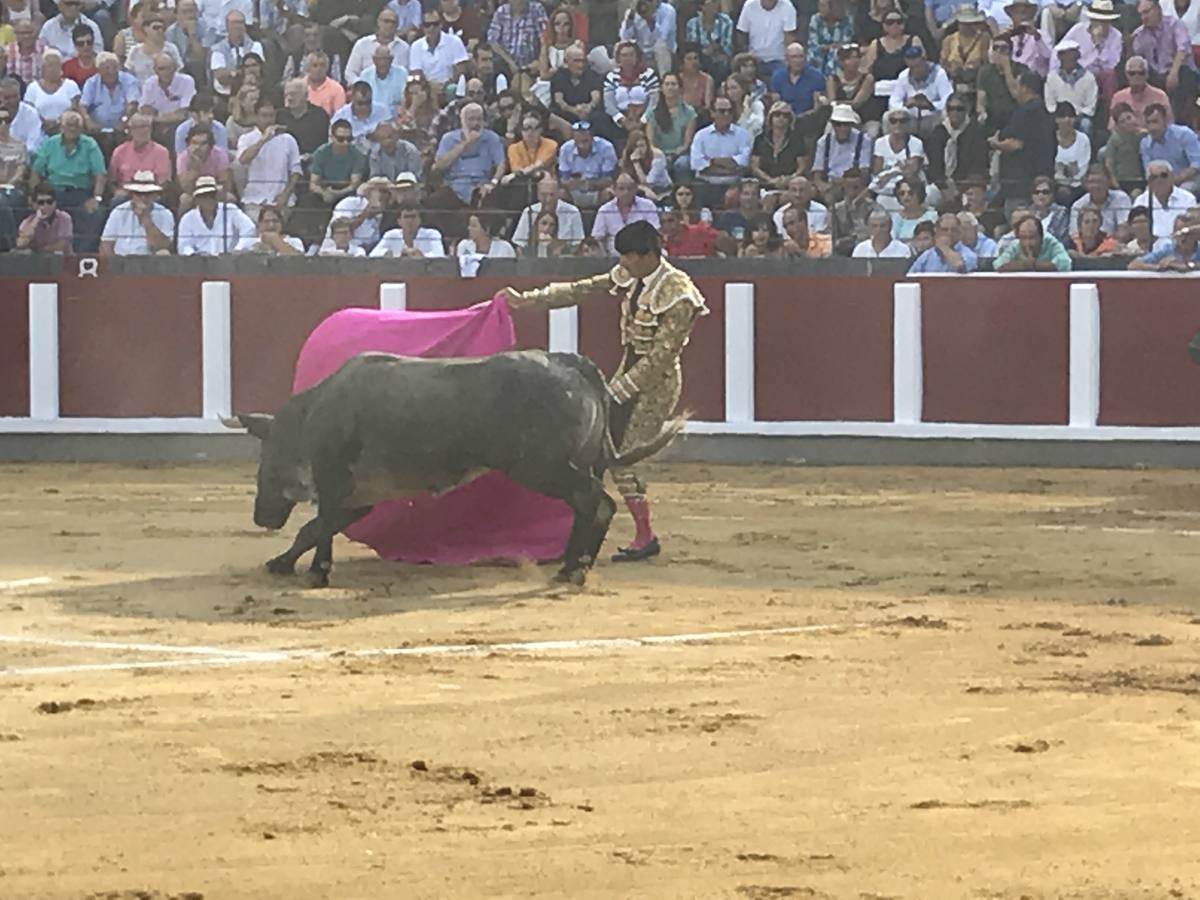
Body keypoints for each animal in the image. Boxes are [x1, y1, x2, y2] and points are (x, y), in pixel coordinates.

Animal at [225, 348, 686, 588]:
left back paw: (573, 569)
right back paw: (573, 567)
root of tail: (570, 363)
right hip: (578, 463)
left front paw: (314, 572)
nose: (260, 516)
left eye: (264, 460)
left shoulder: (334, 482)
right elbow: (317, 527)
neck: (312, 415)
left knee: (595, 502)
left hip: (542, 466)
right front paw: (284, 563)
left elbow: (316, 527)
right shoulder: (358, 498)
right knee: (589, 505)